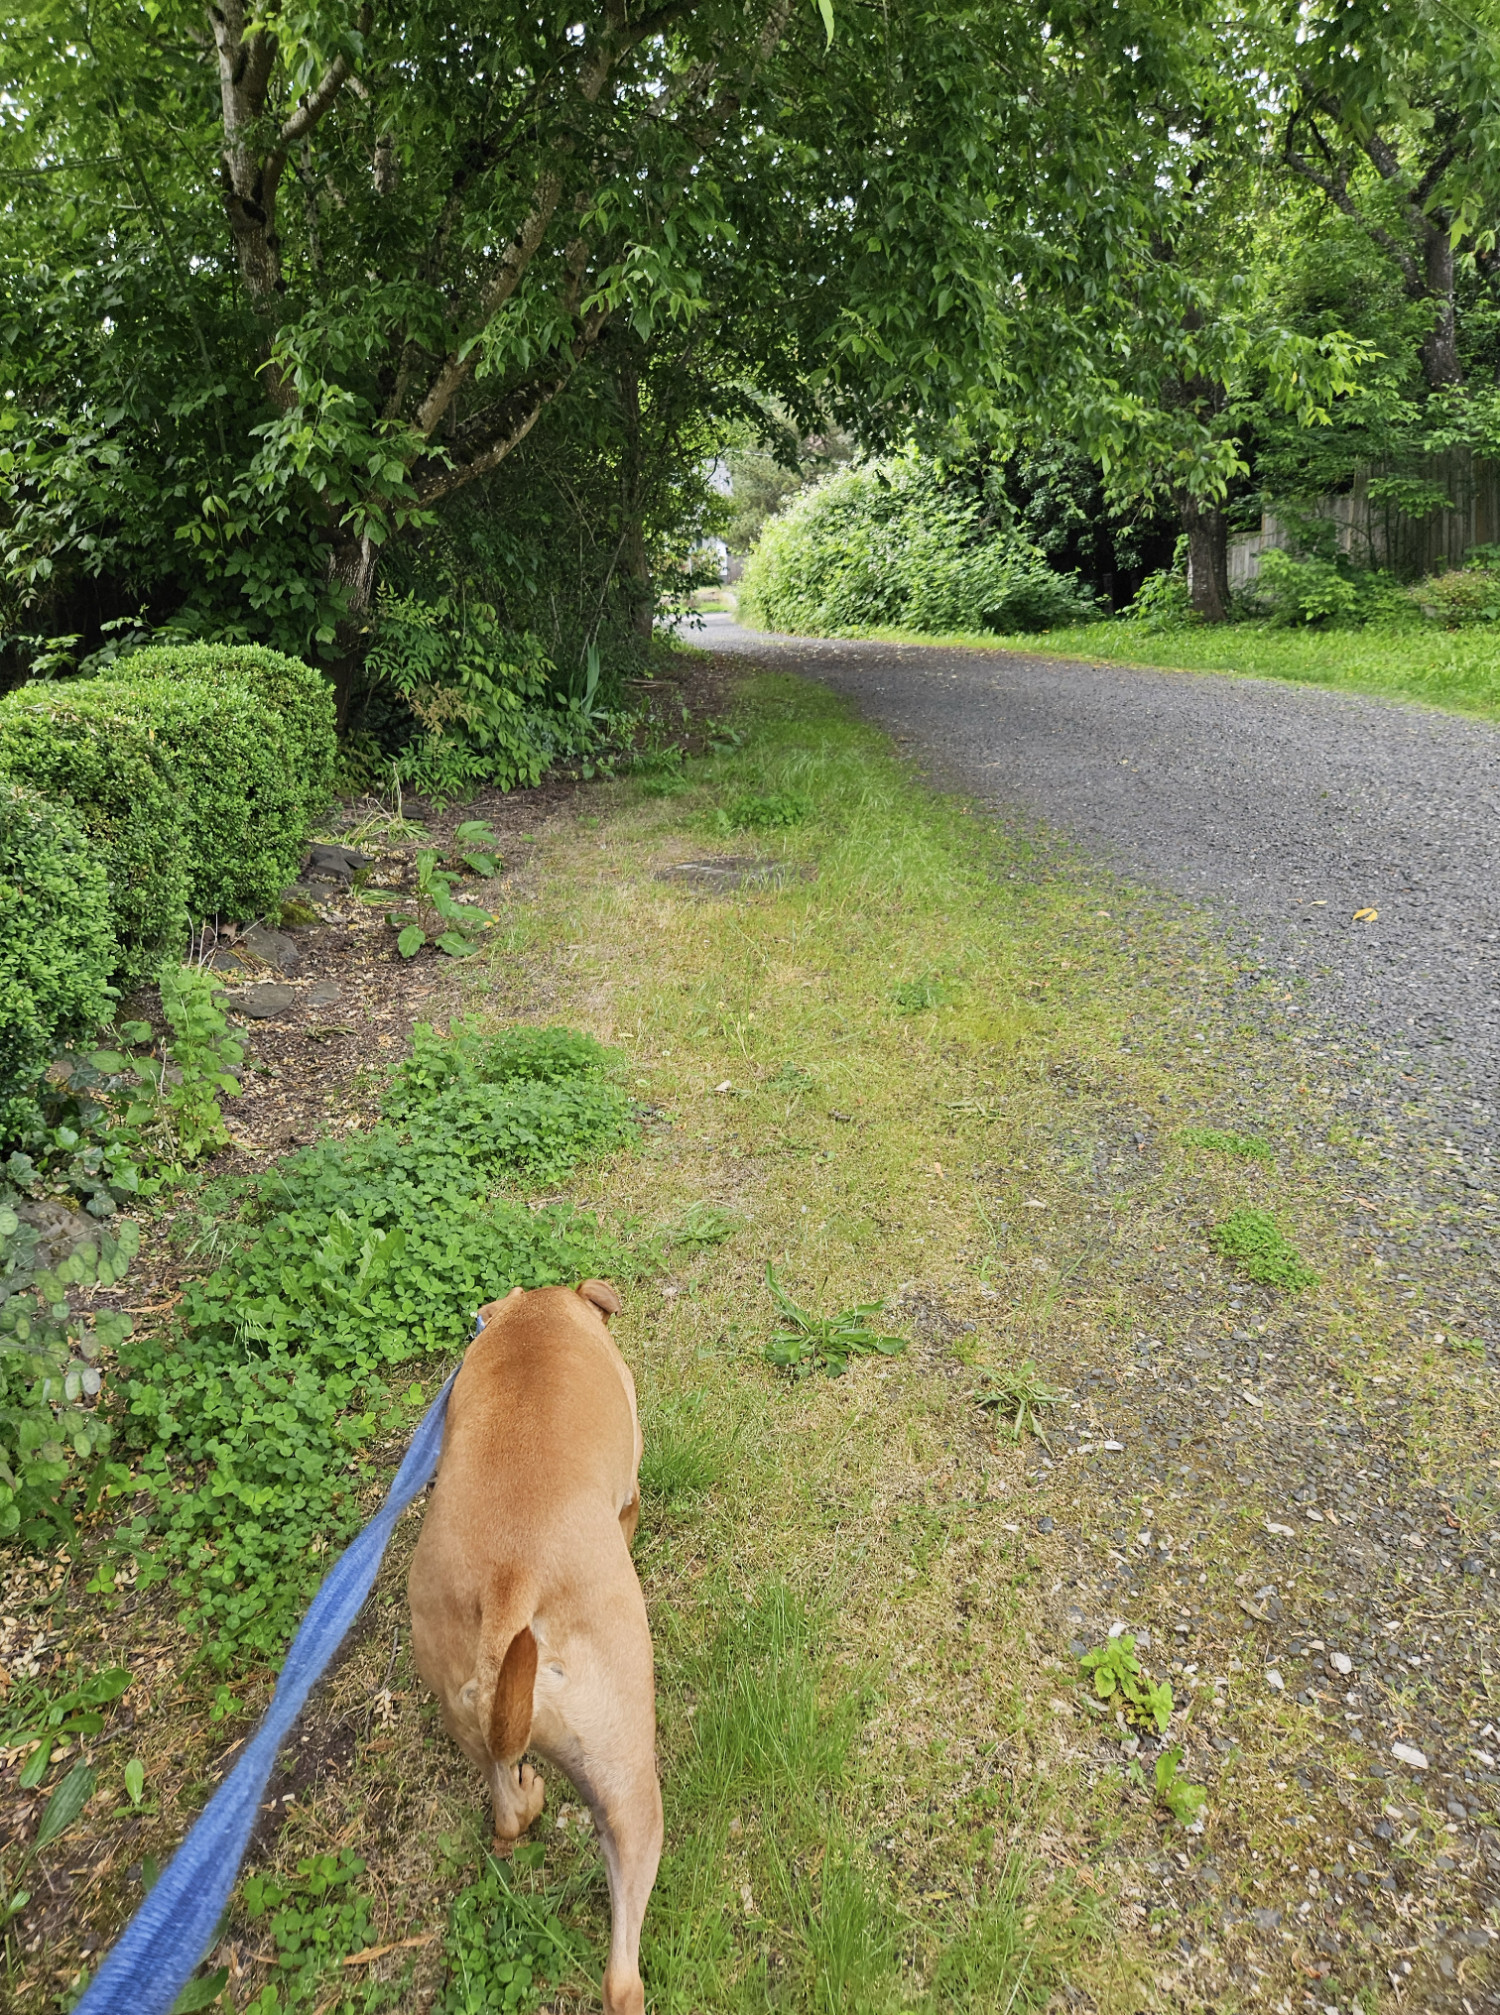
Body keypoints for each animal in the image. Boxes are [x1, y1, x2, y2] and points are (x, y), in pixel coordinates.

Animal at [407, 1281, 657, 2015]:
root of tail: (511, 1587)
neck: (536, 1315)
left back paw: (527, 1796)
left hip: (468, 1715)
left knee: (509, 1811)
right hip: (630, 1777)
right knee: (621, 1974)